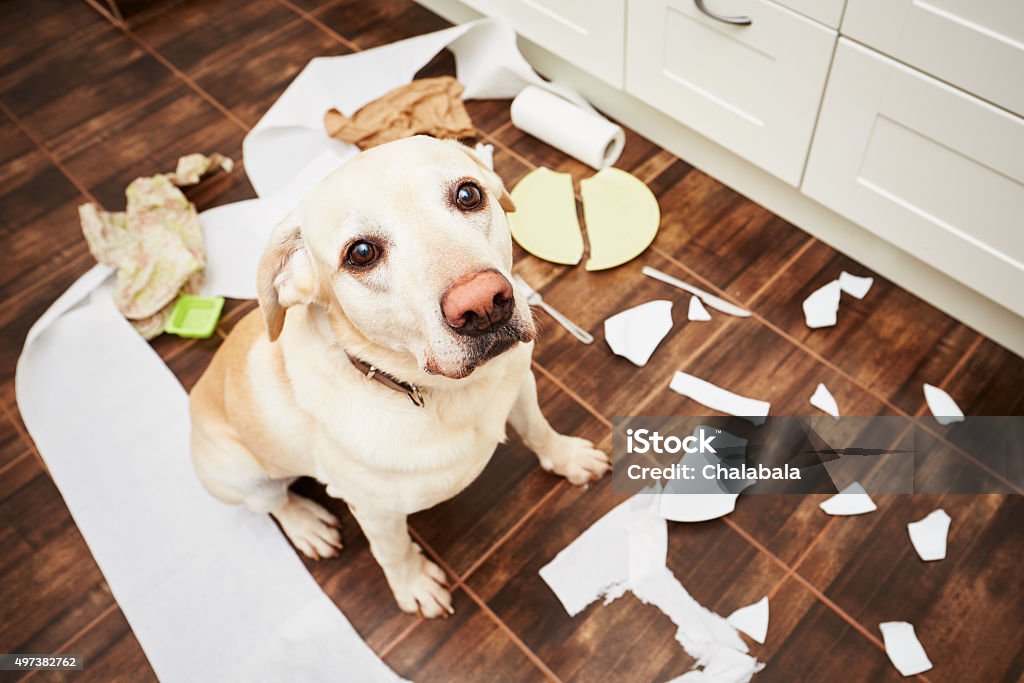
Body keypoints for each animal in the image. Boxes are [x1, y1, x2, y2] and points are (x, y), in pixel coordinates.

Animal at [190, 135, 606, 618]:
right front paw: (414, 586)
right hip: (241, 474)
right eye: (361, 253)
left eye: (469, 194)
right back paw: (307, 525)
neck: (447, 391)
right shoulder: (377, 513)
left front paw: (567, 458)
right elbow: (393, 551)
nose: (483, 304)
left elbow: (539, 430)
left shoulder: (520, 387)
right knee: (274, 504)